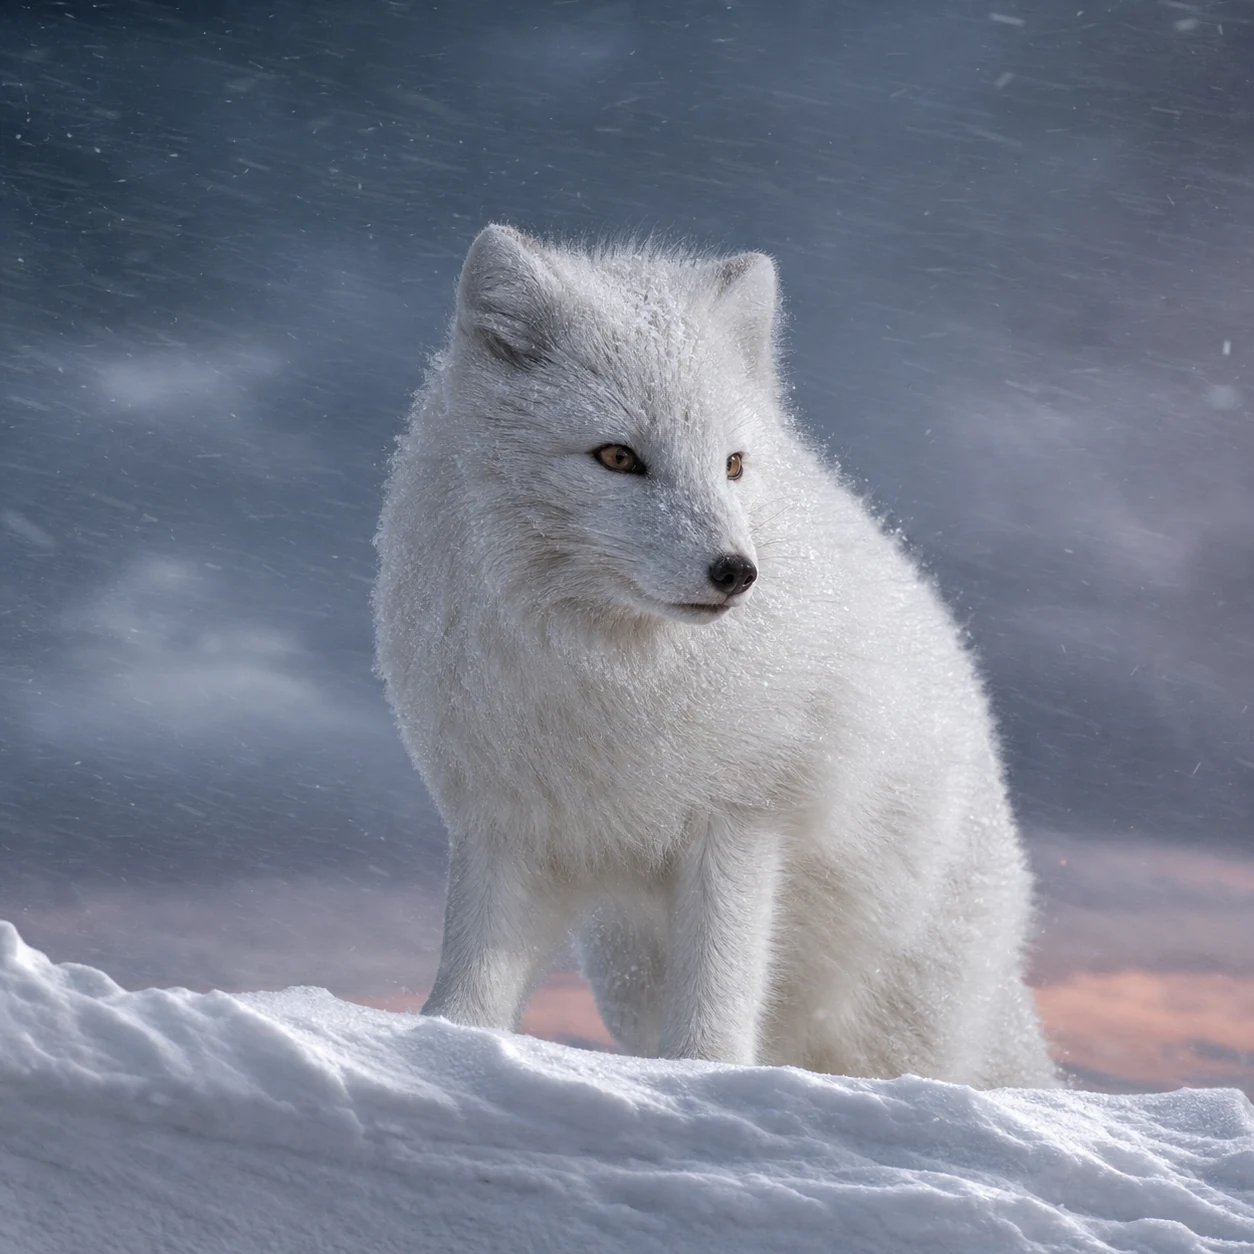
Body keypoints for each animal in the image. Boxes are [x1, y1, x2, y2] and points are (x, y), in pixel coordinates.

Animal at [373, 224, 1058, 1088]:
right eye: (618, 457)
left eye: (732, 464)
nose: (737, 572)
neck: (614, 676)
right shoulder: (509, 820)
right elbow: (473, 972)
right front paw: (441, 1046)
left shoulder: (741, 820)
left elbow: (721, 984)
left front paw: (702, 1078)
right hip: (630, 975)